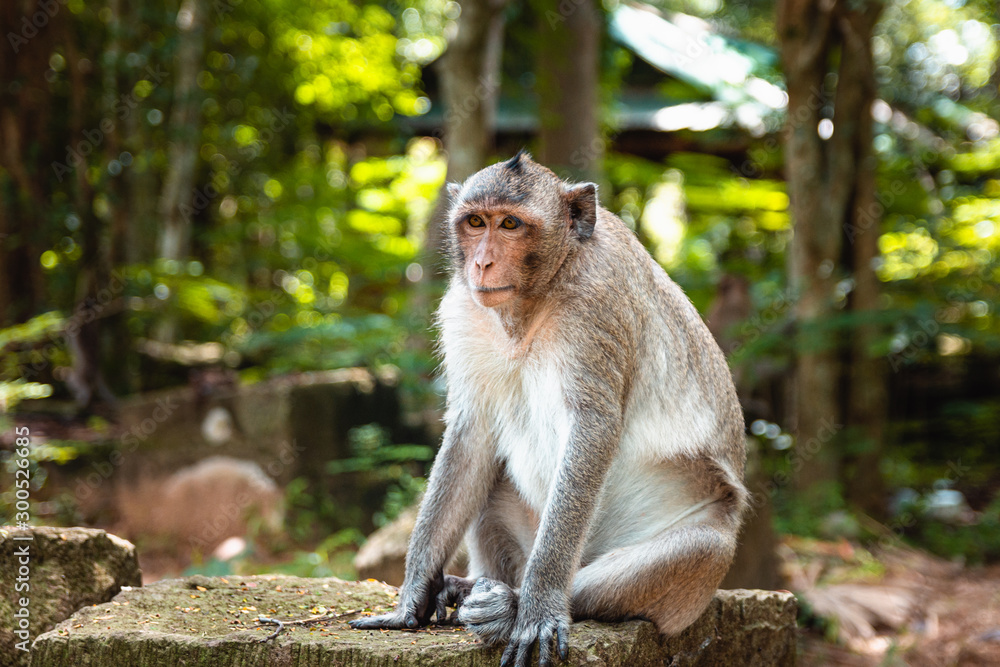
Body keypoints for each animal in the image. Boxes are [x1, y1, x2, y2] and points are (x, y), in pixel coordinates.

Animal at [349, 152, 748, 667]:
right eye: (476, 222)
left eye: (510, 224)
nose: (482, 262)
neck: (539, 293)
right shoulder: (464, 310)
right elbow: (471, 433)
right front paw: (411, 597)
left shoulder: (596, 304)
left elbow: (594, 427)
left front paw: (537, 609)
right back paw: (471, 587)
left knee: (703, 547)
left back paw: (509, 602)